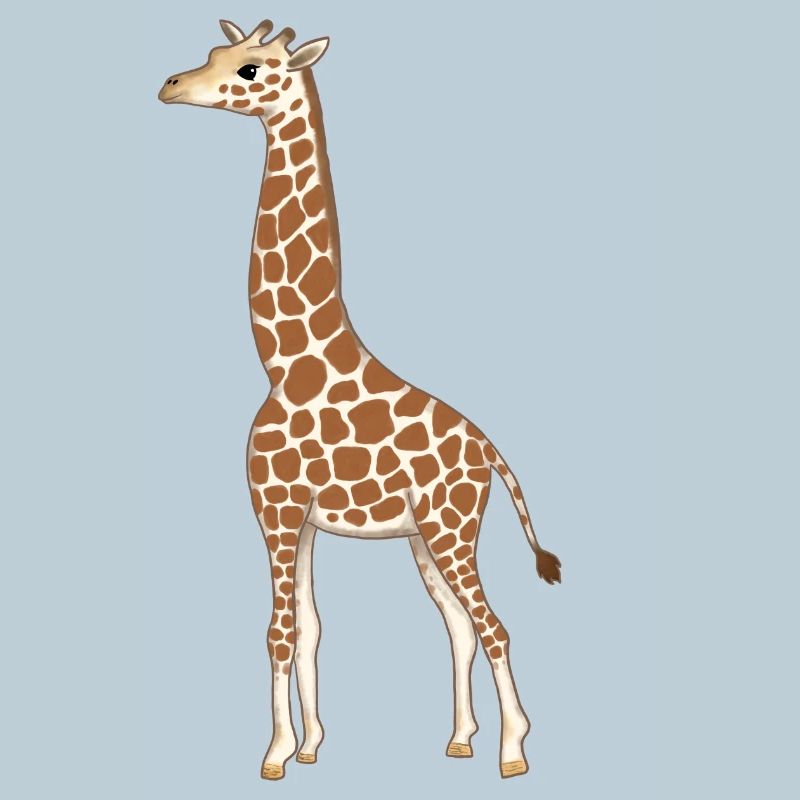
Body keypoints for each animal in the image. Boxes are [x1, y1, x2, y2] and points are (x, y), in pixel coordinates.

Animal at [159, 18, 561, 781]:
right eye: (215, 54)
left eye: (250, 69)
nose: (169, 85)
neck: (286, 361)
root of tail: (490, 452)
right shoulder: (302, 518)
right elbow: (311, 628)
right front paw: (312, 746)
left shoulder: (276, 505)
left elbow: (280, 630)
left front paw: (275, 755)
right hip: (426, 537)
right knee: (460, 625)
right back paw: (460, 740)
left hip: (450, 525)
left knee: (493, 624)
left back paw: (513, 752)